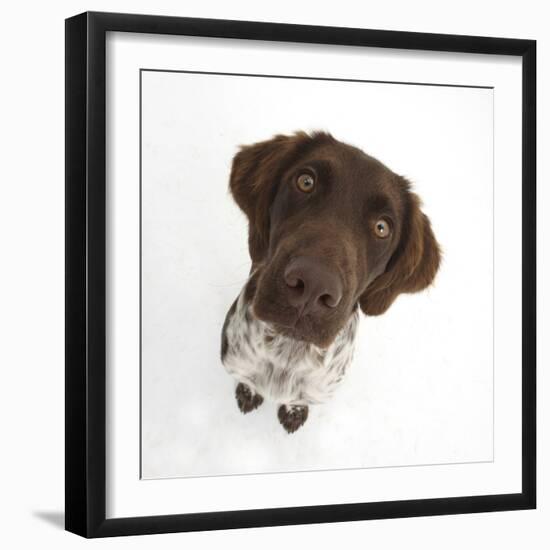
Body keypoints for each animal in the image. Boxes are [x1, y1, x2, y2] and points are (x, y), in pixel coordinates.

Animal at [222, 132, 442, 434]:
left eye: (382, 228)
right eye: (305, 182)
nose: (313, 285)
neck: (286, 353)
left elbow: (297, 400)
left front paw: (294, 412)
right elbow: (248, 381)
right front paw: (248, 393)